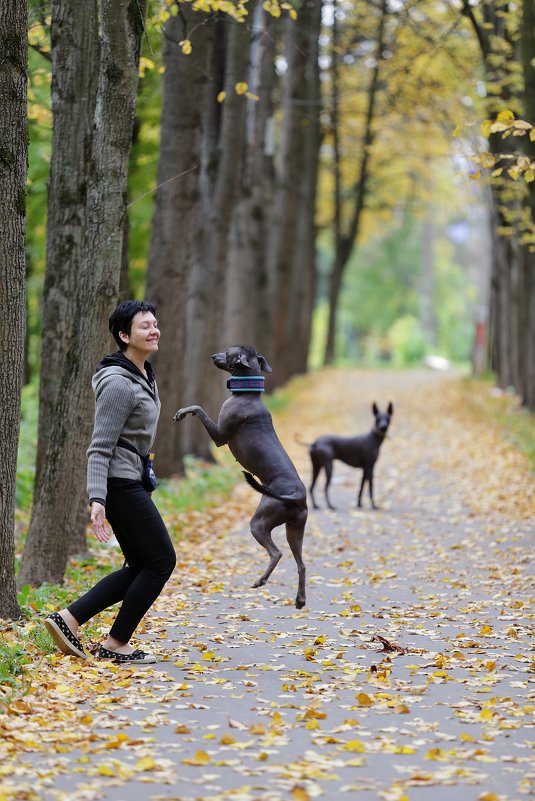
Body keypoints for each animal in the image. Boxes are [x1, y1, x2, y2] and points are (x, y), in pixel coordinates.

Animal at [174, 344, 308, 608]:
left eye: (228, 352)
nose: (213, 355)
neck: (248, 393)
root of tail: (297, 494)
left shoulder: (219, 436)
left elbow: (198, 408)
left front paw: (183, 411)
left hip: (260, 522)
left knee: (276, 553)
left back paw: (261, 580)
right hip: (295, 529)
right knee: (301, 564)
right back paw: (299, 599)